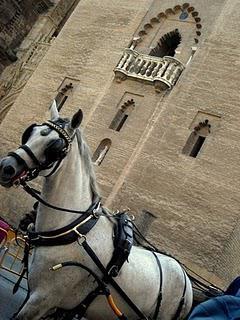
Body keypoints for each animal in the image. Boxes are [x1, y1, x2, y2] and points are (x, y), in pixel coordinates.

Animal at [0, 103, 192, 320]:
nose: (6, 167)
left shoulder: (42, 300)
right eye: (29, 132)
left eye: (55, 147)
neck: (75, 229)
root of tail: (186, 280)